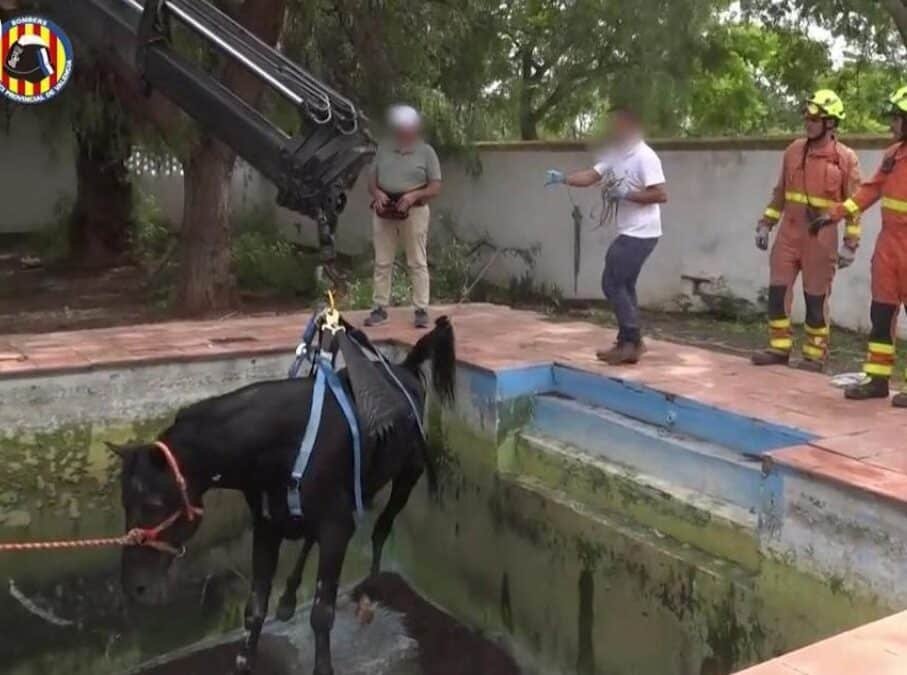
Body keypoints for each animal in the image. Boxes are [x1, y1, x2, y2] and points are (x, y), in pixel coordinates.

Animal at [112, 317, 456, 675]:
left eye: (152, 503)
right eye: (125, 502)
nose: (135, 587)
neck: (287, 442)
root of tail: (406, 368)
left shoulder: (336, 527)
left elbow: (322, 612)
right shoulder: (267, 526)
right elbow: (255, 606)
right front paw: (246, 659)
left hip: (407, 475)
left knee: (382, 527)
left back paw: (372, 581)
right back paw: (290, 597)